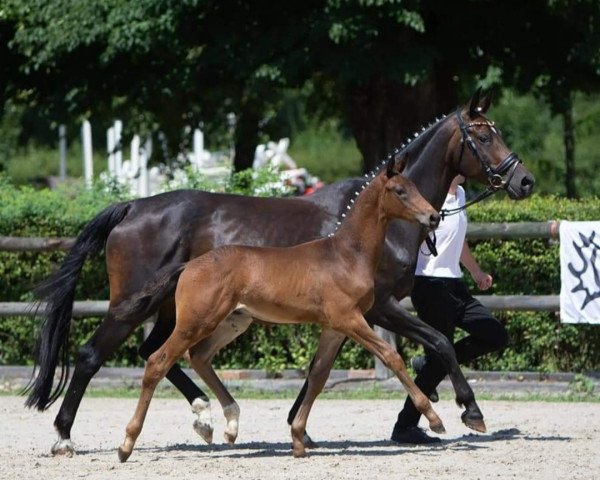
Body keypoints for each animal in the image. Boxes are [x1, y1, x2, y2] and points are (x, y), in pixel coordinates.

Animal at [27, 92, 536, 456]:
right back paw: (65, 437)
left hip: (180, 309)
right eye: (483, 136)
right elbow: (439, 342)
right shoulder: (381, 308)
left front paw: (300, 430)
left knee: (158, 352)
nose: (524, 180)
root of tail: (132, 206)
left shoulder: (350, 316)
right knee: (95, 355)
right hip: (134, 305)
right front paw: (470, 409)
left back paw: (208, 417)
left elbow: (321, 369)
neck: (370, 230)